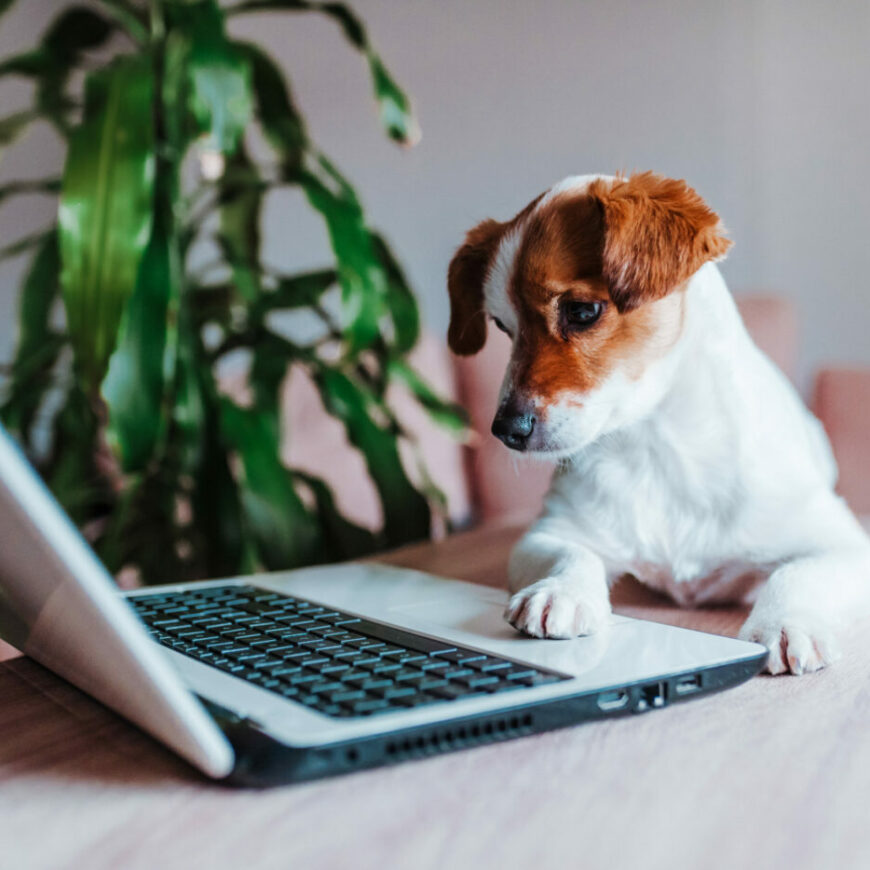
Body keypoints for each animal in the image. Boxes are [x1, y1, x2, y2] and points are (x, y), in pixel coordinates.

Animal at [446, 170, 870, 676]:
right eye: (503, 327)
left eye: (581, 312)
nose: (506, 429)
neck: (659, 444)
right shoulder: (549, 532)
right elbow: (570, 554)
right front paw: (561, 590)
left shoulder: (844, 545)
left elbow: (796, 573)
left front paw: (784, 621)